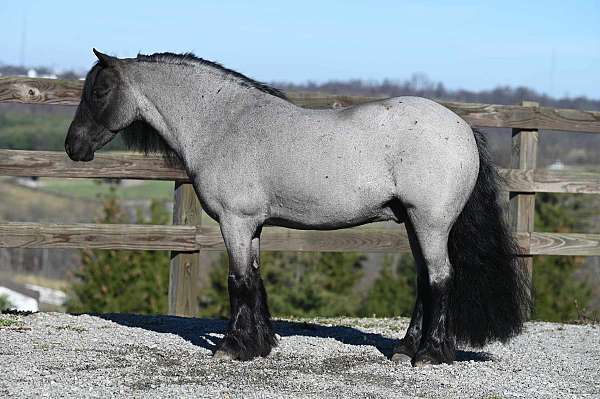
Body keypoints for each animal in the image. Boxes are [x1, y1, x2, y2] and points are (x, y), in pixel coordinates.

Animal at [65, 48, 528, 368]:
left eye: (100, 90)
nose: (73, 146)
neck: (223, 123)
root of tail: (463, 127)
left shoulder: (234, 223)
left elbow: (238, 282)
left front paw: (232, 348)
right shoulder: (250, 226)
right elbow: (254, 280)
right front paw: (259, 344)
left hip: (430, 223)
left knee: (440, 279)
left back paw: (429, 354)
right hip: (414, 224)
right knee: (423, 282)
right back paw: (405, 349)